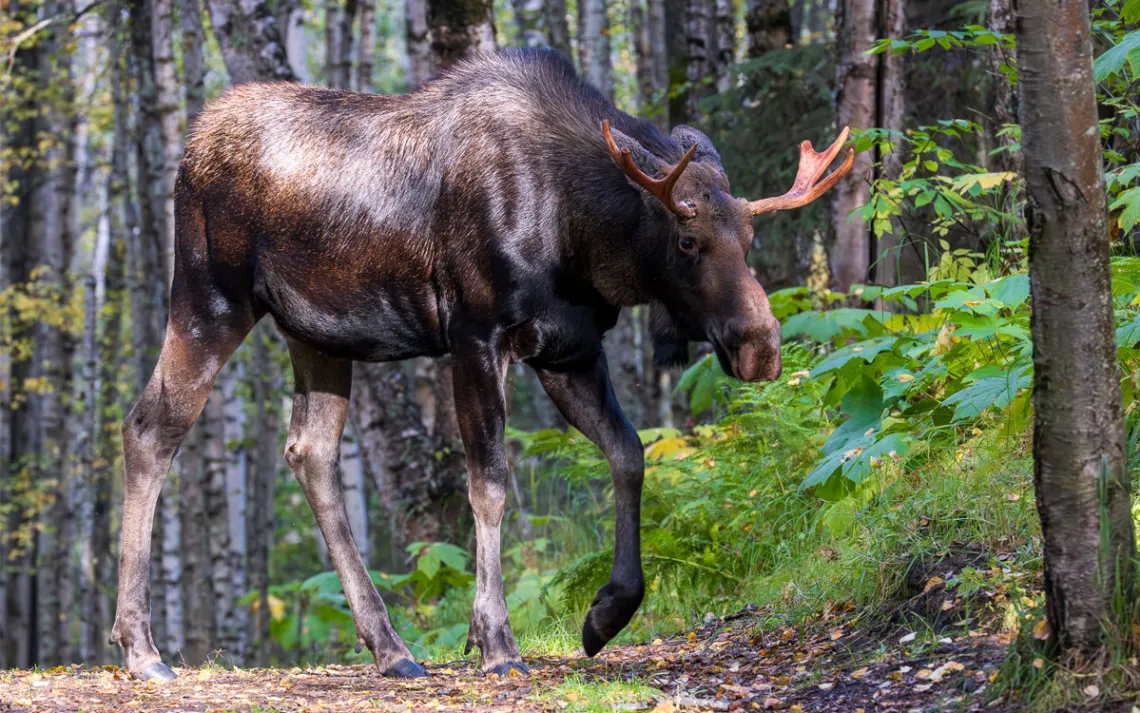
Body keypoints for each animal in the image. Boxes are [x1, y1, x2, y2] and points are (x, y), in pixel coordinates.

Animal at [109, 48, 853, 681]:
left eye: (750, 236)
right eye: (688, 238)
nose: (761, 345)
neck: (583, 238)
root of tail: (190, 149)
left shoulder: (569, 349)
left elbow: (628, 453)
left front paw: (606, 613)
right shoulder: (475, 334)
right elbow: (490, 483)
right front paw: (496, 639)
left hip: (316, 333)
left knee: (310, 452)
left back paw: (391, 646)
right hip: (208, 298)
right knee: (150, 428)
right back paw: (142, 648)